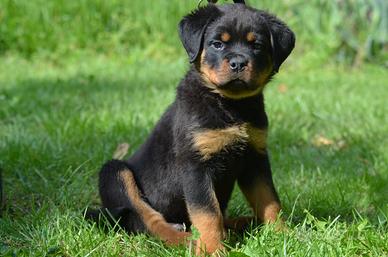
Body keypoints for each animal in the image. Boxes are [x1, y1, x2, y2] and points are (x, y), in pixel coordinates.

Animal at [90, 2, 294, 254]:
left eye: (257, 45)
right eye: (217, 44)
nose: (238, 63)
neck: (230, 104)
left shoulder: (255, 158)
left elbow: (269, 200)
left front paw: (283, 235)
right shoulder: (195, 165)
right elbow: (207, 212)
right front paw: (213, 250)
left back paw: (241, 225)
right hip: (114, 172)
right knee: (147, 220)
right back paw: (187, 239)